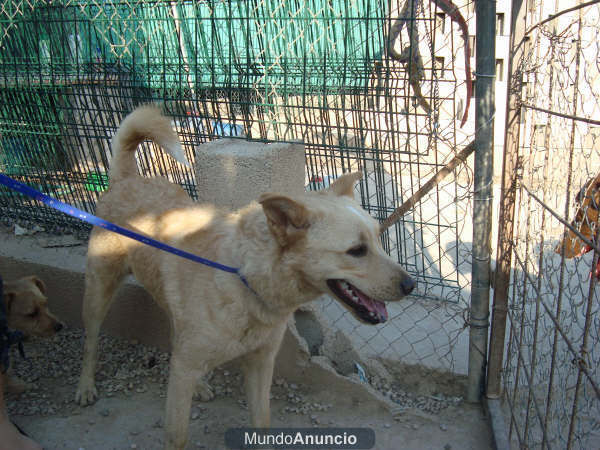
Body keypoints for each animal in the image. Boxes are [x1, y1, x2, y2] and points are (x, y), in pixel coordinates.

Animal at [74, 103, 412, 448]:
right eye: (357, 250)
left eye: (378, 240)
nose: (410, 285)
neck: (244, 279)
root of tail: (126, 179)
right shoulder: (183, 374)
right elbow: (177, 435)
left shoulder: (261, 365)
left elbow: (262, 421)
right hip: (98, 294)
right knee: (90, 343)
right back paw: (85, 387)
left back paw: (199, 385)